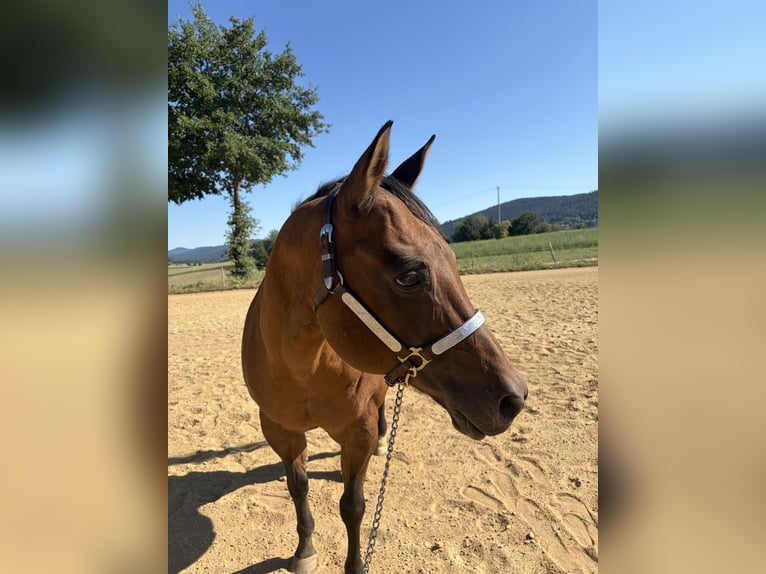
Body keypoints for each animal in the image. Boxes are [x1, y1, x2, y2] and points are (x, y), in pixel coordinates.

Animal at [241, 121, 528, 573]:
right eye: (409, 275)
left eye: (451, 257)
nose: (514, 397)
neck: (303, 367)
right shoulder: (279, 429)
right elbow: (298, 486)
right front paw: (304, 550)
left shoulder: (354, 434)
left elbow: (353, 505)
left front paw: (356, 564)